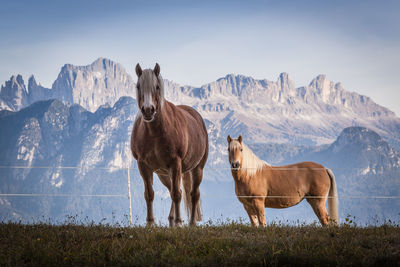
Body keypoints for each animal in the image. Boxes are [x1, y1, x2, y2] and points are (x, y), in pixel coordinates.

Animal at [130, 63, 208, 227]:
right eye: (138, 86)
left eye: (157, 86)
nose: (148, 110)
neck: (154, 133)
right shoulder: (143, 165)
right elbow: (149, 194)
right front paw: (150, 223)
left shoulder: (175, 163)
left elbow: (177, 195)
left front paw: (179, 222)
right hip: (163, 174)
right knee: (174, 190)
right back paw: (171, 220)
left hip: (197, 168)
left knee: (193, 194)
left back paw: (191, 223)